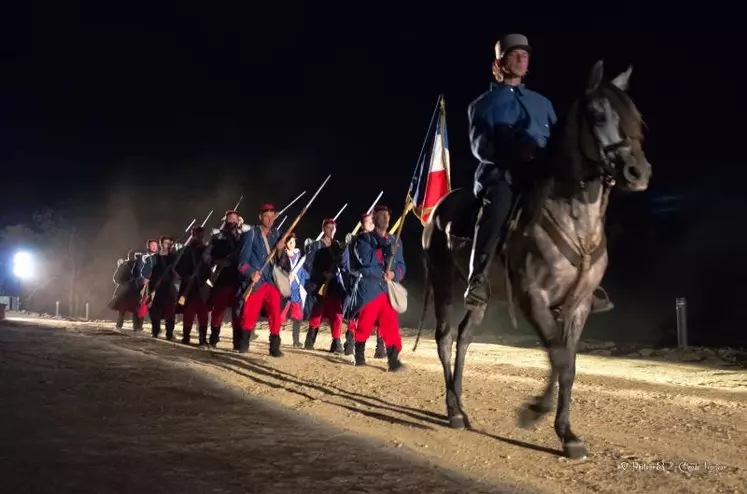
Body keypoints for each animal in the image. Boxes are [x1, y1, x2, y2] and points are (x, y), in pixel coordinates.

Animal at [420, 60, 656, 460]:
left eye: (635, 117)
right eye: (597, 114)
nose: (637, 172)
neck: (575, 221)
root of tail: (439, 209)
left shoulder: (578, 306)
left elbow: (569, 365)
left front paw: (568, 434)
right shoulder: (533, 299)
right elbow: (558, 357)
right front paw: (534, 412)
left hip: (481, 298)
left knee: (464, 338)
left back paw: (462, 408)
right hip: (443, 283)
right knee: (444, 338)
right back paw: (452, 411)